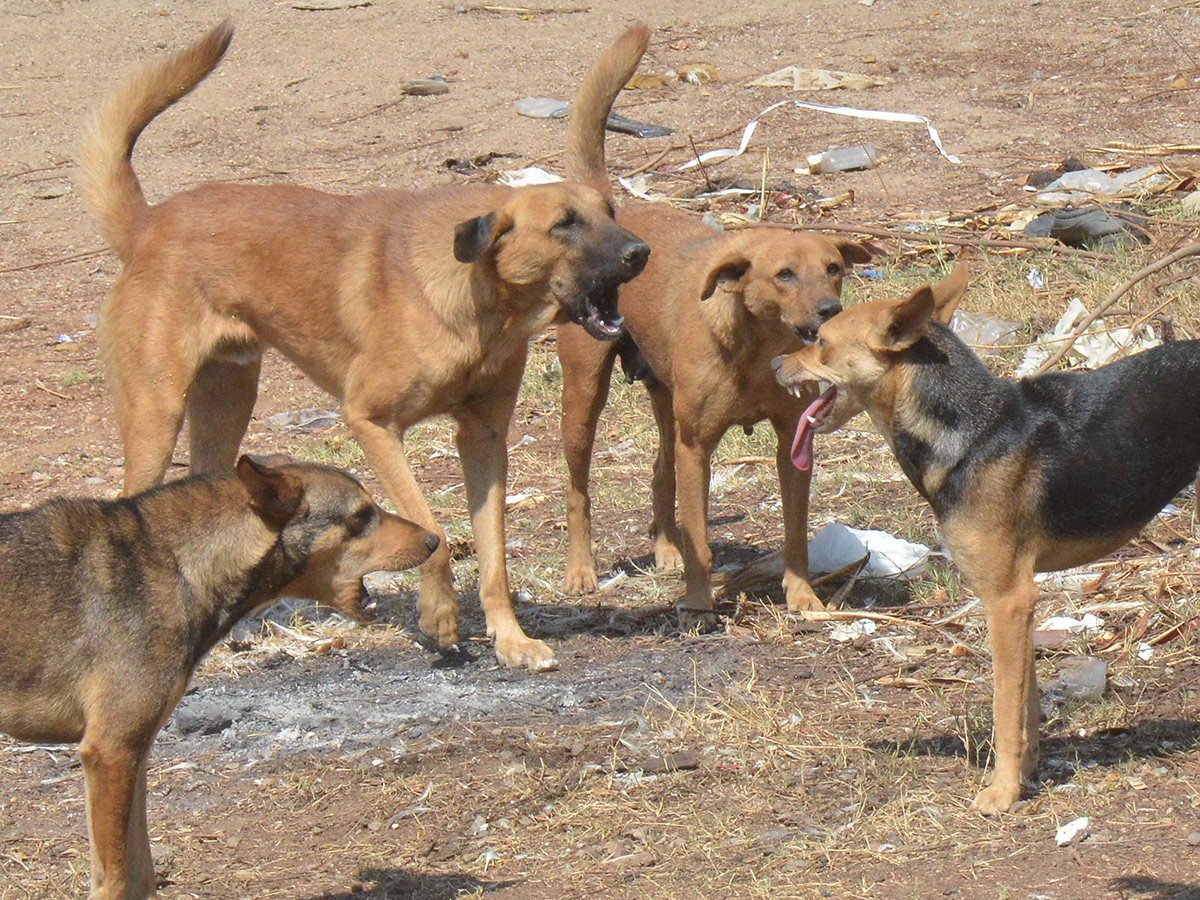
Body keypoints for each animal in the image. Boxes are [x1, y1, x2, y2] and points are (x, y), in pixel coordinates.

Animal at [0, 455, 438, 899]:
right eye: (361, 516)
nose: (435, 541)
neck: (177, 563)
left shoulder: (133, 753)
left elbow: (142, 872)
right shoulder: (110, 752)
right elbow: (116, 880)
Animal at [75, 21, 649, 672]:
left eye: (610, 211)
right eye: (564, 224)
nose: (641, 252)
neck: (479, 304)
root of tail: (148, 224)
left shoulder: (483, 438)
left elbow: (495, 558)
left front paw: (511, 640)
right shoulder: (372, 422)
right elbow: (433, 532)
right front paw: (440, 617)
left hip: (227, 403)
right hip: (156, 414)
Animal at [556, 26, 870, 617]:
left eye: (834, 269)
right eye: (784, 275)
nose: (830, 312)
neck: (756, 348)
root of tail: (611, 211)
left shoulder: (792, 441)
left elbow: (795, 532)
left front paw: (802, 596)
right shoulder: (698, 446)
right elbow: (701, 535)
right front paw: (701, 602)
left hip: (663, 400)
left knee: (660, 472)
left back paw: (664, 549)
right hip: (584, 399)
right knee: (579, 493)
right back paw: (582, 571)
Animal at [772, 263, 1200, 813]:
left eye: (821, 342)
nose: (776, 363)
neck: (970, 434)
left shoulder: (1006, 600)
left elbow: (1003, 705)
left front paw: (1001, 792)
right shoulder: (1019, 601)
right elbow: (1027, 701)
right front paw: (1027, 772)